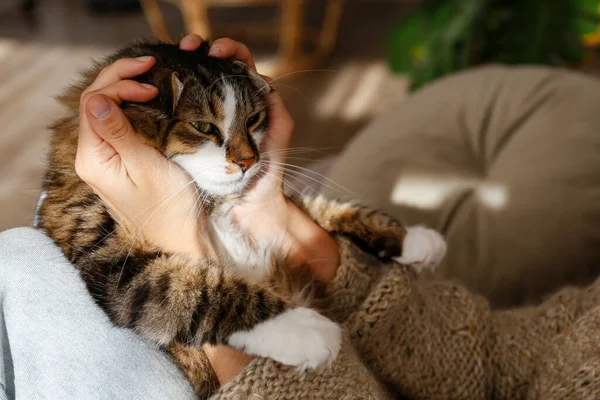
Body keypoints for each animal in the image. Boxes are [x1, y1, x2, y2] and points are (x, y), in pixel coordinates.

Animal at [37, 41, 446, 396]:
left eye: (254, 120)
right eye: (204, 127)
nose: (249, 161)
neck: (213, 205)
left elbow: (326, 209)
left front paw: (414, 240)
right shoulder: (115, 261)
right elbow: (207, 291)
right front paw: (308, 330)